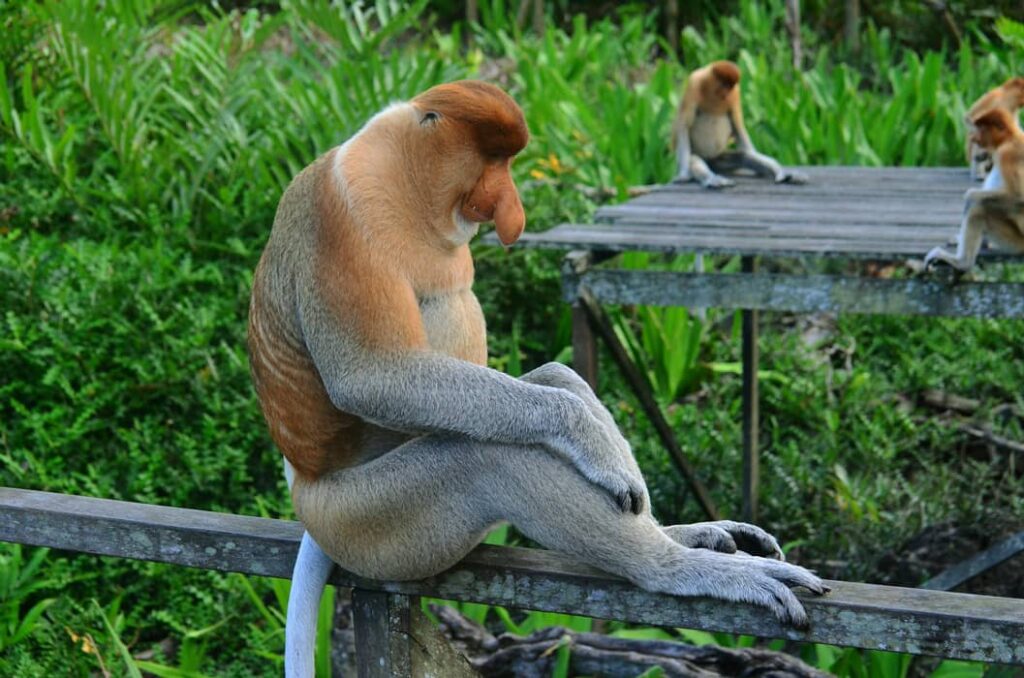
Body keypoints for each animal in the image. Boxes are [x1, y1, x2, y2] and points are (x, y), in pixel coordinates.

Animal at [247, 80, 827, 677]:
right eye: (491, 162)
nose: (511, 208)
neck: (400, 178)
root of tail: (306, 489)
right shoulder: (339, 217)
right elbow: (372, 378)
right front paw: (590, 438)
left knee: (552, 377)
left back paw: (683, 533)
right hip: (369, 523)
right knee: (485, 457)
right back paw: (675, 565)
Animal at [672, 60, 808, 189]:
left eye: (731, 86)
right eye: (724, 84)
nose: (726, 93)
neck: (711, 91)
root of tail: (711, 161)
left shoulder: (735, 93)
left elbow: (738, 127)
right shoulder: (693, 85)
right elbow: (684, 126)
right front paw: (683, 175)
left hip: (720, 158)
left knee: (745, 155)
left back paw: (781, 173)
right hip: (701, 155)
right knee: (694, 160)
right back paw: (713, 179)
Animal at [925, 108, 1024, 272]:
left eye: (981, 128)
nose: (974, 138)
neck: (1008, 139)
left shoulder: (1008, 154)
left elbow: (1018, 197)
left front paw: (969, 195)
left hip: (1016, 241)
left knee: (978, 209)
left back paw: (962, 262)